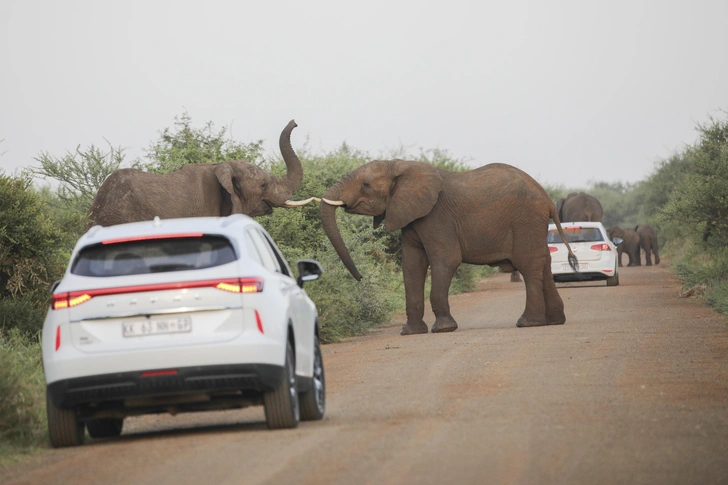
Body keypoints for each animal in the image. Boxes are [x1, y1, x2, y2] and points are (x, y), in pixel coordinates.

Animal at [322, 161, 576, 334]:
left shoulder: (436, 217)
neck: (400, 165)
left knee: (529, 264)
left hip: (525, 220)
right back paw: (555, 320)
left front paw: (443, 329)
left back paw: (528, 323)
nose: (360, 277)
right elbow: (412, 266)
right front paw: (410, 332)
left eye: (365, 184)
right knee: (544, 263)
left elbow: (445, 260)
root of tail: (547, 199)